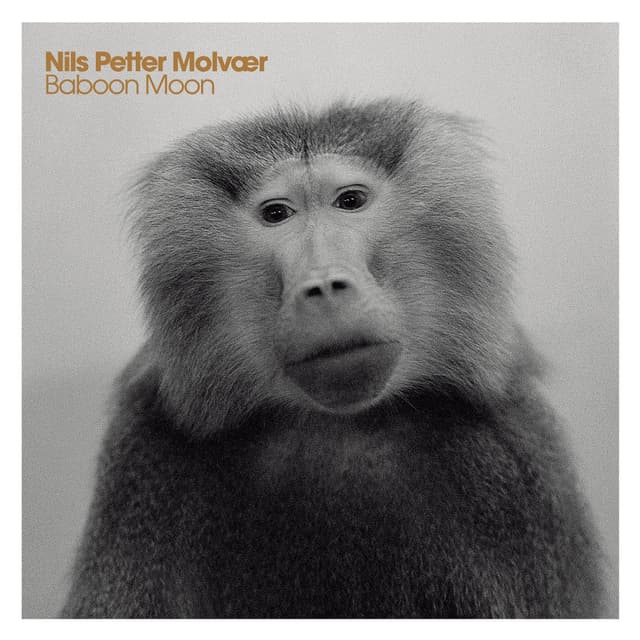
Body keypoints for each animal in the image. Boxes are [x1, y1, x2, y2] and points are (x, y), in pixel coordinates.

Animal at [61, 98, 605, 618]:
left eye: (350, 202)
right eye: (276, 214)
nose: (323, 285)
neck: (340, 425)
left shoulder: (510, 461)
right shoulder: (145, 461)